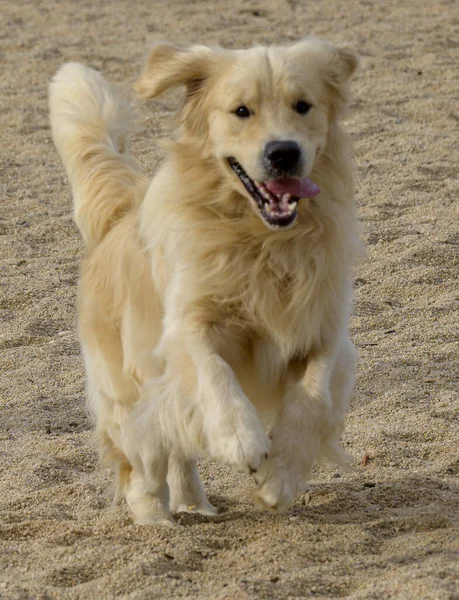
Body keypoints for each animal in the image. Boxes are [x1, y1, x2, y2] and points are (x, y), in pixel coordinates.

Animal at [48, 37, 362, 524]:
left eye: (303, 105)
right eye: (241, 111)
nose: (283, 152)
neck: (262, 241)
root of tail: (120, 211)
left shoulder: (325, 330)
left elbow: (312, 397)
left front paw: (281, 477)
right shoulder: (186, 326)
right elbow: (213, 372)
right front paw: (242, 439)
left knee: (177, 445)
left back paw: (195, 503)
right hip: (127, 382)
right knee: (141, 453)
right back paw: (154, 515)